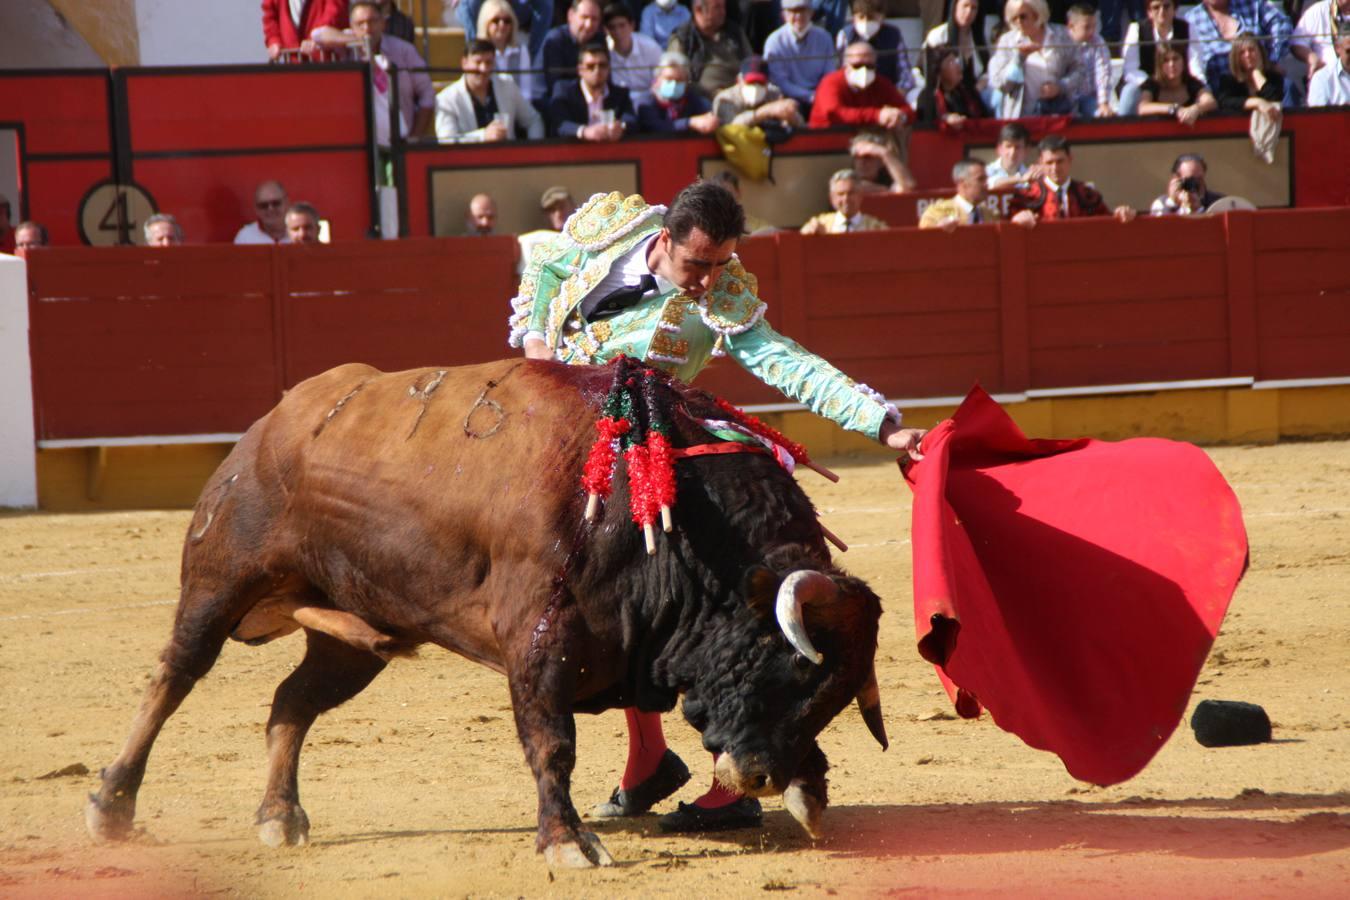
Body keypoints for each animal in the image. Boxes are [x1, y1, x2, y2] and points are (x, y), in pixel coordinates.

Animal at [84, 356, 885, 863]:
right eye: (787, 666)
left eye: (833, 697)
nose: (761, 775)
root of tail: (273, 421)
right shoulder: (539, 641)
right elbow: (552, 742)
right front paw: (566, 843)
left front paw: (810, 790)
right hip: (217, 583)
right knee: (173, 678)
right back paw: (111, 806)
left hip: (355, 635)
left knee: (292, 703)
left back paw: (280, 818)